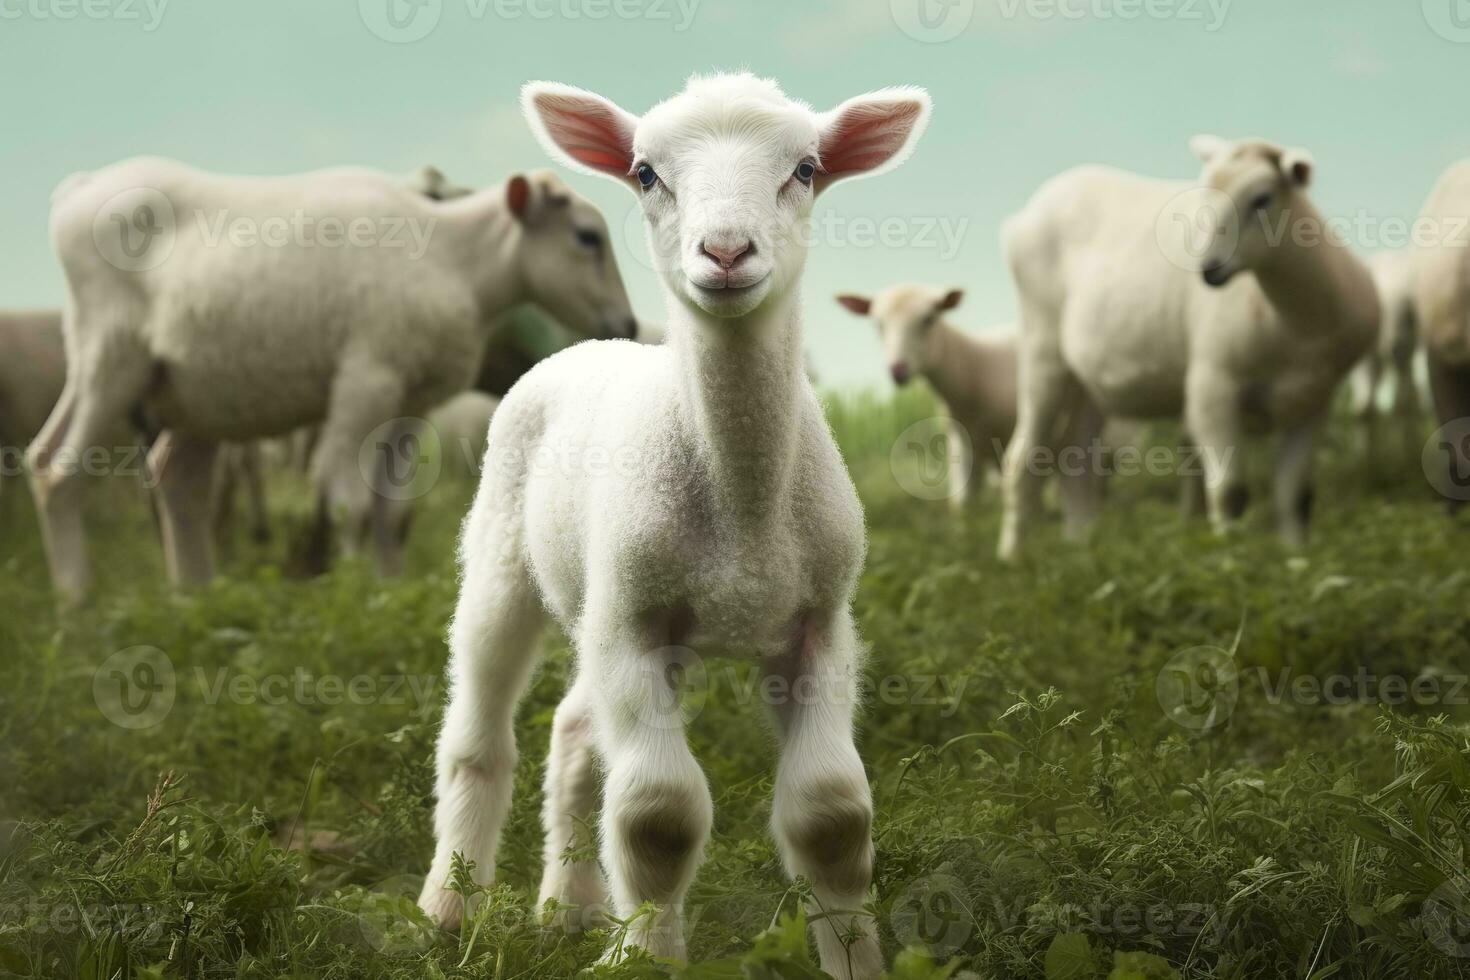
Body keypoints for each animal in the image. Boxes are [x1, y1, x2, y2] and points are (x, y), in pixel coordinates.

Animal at [27, 159, 637, 605]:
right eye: (587, 237)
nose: (629, 326)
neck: (458, 262)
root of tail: (79, 190)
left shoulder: (410, 403)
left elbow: (394, 513)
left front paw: (391, 589)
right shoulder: (364, 386)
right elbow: (353, 505)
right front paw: (354, 591)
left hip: (194, 395)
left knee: (176, 484)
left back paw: (198, 598)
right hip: (108, 357)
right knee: (57, 469)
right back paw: (77, 603)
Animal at [414, 72, 929, 975]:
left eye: (805, 168)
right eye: (646, 173)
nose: (725, 252)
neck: (745, 507)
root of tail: (591, 347)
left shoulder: (821, 621)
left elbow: (832, 813)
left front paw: (855, 959)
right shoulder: (634, 622)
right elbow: (659, 812)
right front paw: (646, 954)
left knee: (575, 727)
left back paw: (569, 908)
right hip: (508, 557)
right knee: (479, 729)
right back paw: (451, 905)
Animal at [993, 135, 1381, 558]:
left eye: (1262, 198)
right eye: (1204, 196)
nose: (1209, 269)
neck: (1295, 325)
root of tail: (1035, 205)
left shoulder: (1315, 399)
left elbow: (1295, 496)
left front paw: (1297, 560)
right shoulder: (1212, 384)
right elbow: (1230, 493)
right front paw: (1230, 559)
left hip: (1088, 382)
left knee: (1075, 460)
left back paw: (1082, 550)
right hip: (1041, 345)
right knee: (1023, 460)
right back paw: (1011, 556)